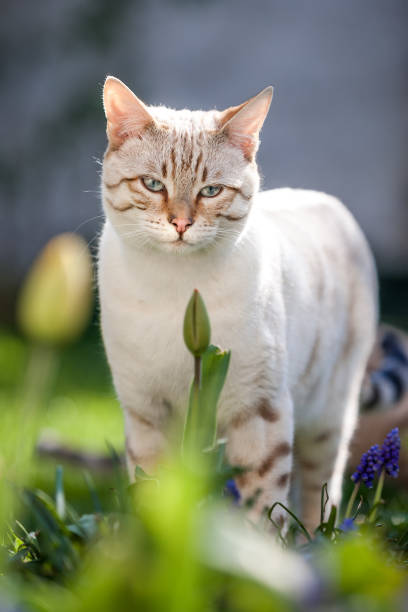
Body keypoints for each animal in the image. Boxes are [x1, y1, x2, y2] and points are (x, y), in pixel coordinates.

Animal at [97, 74, 378, 528]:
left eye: (211, 191)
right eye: (153, 184)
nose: (180, 223)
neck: (176, 290)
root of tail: (326, 199)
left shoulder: (258, 410)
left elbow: (261, 509)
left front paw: (252, 547)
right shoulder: (146, 413)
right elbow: (156, 497)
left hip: (326, 418)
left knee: (319, 496)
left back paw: (315, 542)